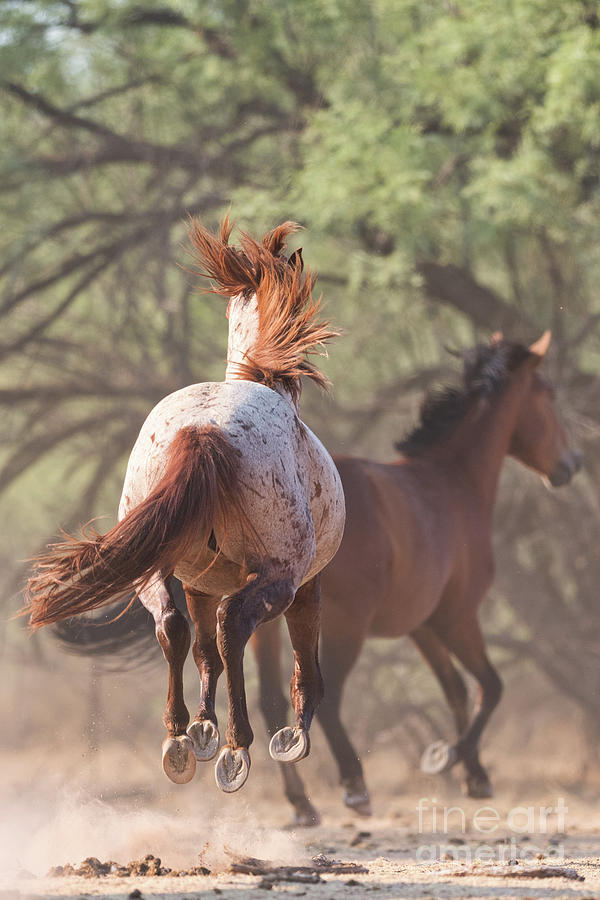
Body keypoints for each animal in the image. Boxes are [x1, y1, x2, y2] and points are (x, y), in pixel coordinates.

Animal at [25, 218, 344, 796]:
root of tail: (204, 428)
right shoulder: (307, 580)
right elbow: (301, 651)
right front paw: (292, 734)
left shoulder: (197, 580)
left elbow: (202, 653)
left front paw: (201, 728)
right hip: (278, 576)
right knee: (232, 623)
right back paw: (240, 747)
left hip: (154, 570)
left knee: (176, 627)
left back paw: (180, 740)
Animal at [253, 330, 580, 824]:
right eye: (547, 394)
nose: (571, 463)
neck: (451, 483)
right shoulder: (458, 618)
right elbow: (491, 686)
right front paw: (448, 757)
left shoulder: (423, 628)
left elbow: (457, 690)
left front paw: (475, 775)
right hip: (345, 628)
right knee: (324, 696)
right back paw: (355, 786)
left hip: (266, 627)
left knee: (270, 700)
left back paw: (303, 804)